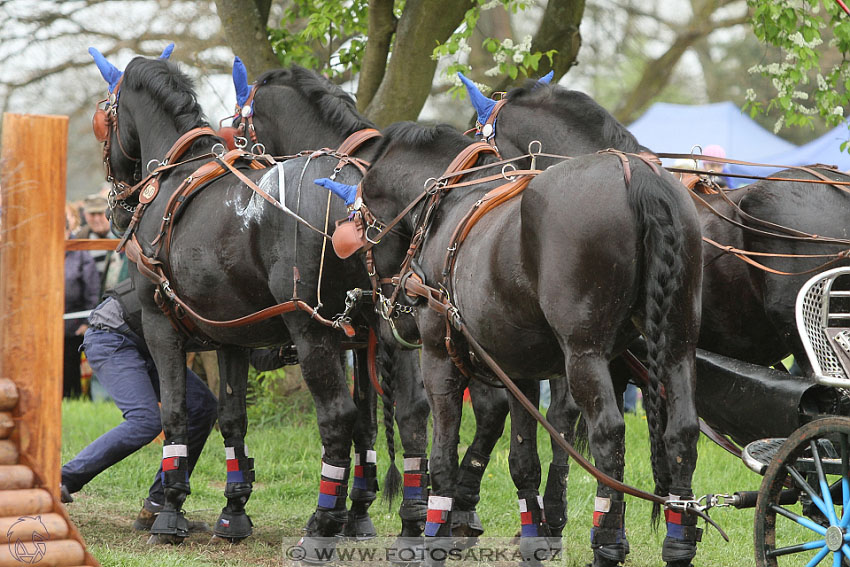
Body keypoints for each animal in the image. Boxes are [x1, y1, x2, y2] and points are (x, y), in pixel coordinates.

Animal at [91, 50, 410, 556]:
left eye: (107, 119)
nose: (118, 200)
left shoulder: (161, 325)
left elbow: (174, 411)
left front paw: (170, 511)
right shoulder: (233, 336)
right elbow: (233, 419)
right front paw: (234, 511)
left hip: (315, 331)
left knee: (340, 417)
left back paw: (322, 524)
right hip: (372, 333)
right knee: (377, 418)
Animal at [332, 120, 704, 567]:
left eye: (362, 229)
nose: (388, 310)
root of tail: (634, 173)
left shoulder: (440, 359)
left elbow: (443, 456)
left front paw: (435, 537)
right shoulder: (520, 371)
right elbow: (524, 460)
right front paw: (533, 539)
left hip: (585, 354)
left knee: (608, 435)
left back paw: (607, 543)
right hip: (676, 343)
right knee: (681, 430)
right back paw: (679, 541)